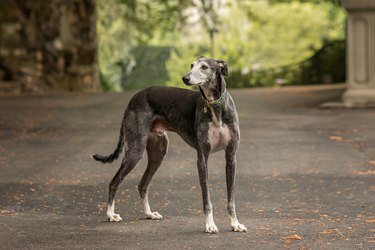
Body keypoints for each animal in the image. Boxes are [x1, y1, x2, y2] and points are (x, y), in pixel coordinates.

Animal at [92, 55, 248, 233]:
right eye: (191, 65)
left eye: (204, 67)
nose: (185, 78)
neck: (215, 105)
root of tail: (134, 98)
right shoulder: (202, 158)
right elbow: (206, 199)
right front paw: (210, 225)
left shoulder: (231, 157)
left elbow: (231, 198)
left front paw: (235, 224)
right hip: (135, 151)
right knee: (114, 182)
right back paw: (111, 215)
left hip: (158, 152)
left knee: (142, 184)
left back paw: (149, 214)